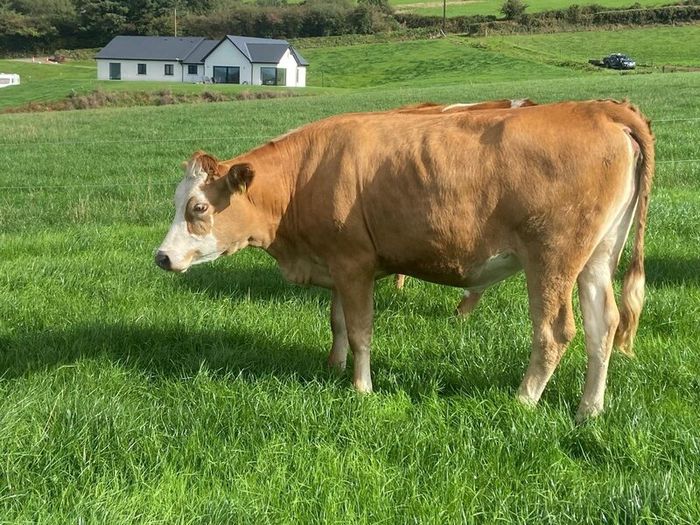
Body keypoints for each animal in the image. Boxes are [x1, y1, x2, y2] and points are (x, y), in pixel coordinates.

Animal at [155, 100, 654, 421]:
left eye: (198, 207)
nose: (162, 257)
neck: (305, 175)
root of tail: (598, 108)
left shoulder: (354, 263)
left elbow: (360, 331)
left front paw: (361, 389)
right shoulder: (338, 264)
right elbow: (337, 322)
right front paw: (333, 367)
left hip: (551, 257)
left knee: (555, 331)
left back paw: (523, 401)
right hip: (597, 255)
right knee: (603, 325)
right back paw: (589, 409)